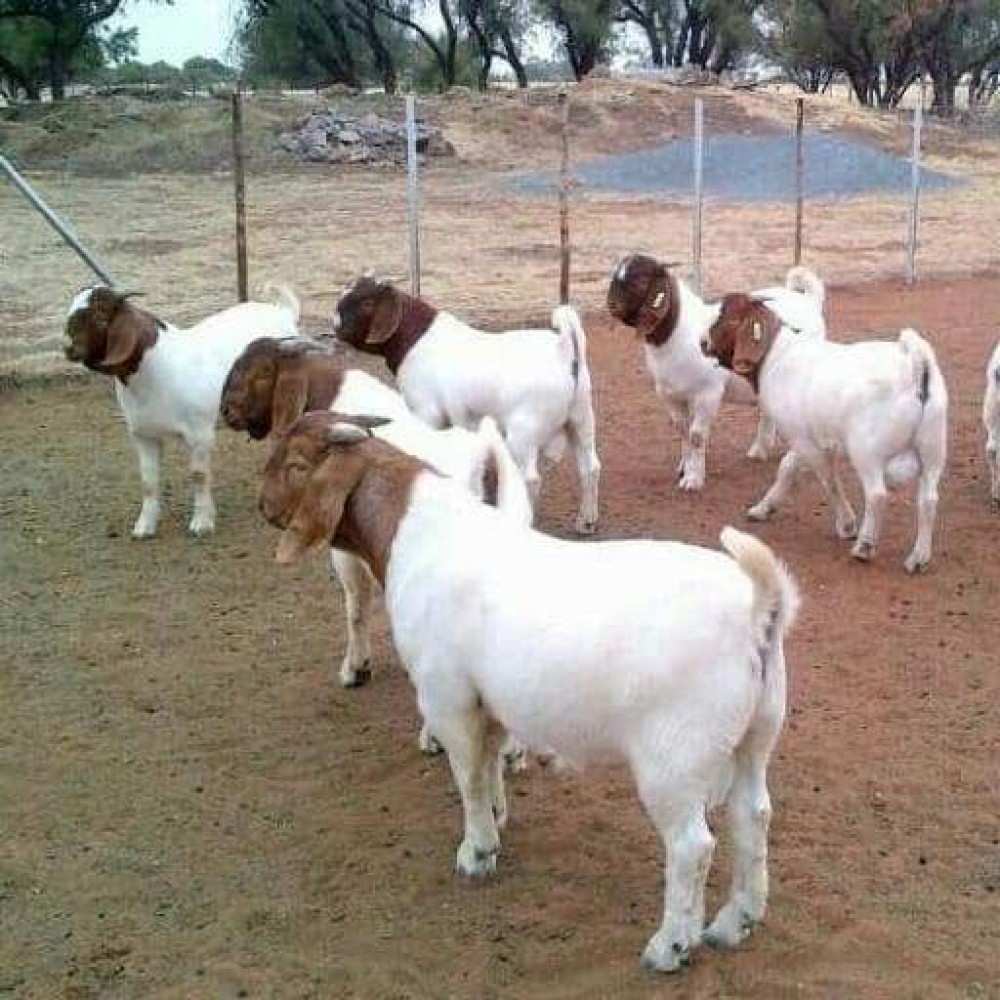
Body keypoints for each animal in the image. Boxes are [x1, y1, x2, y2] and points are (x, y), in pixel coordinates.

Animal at [63, 284, 299, 538]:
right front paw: (144, 526)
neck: (158, 369)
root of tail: (283, 311)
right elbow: (148, 480)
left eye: (100, 314)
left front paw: (202, 523)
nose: (68, 347)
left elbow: (198, 475)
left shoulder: (200, 433)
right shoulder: (143, 435)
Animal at [260, 411, 799, 973]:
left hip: (675, 759)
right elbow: (491, 760)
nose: (263, 507)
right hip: (754, 736)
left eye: (296, 464)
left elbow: (469, 777)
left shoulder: (447, 697)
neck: (416, 529)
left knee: (692, 847)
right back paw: (735, 922)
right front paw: (499, 819)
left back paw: (670, 946)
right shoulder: (491, 699)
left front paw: (477, 852)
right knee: (753, 816)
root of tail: (759, 609)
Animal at [331, 276, 601, 534]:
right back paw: (586, 522)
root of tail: (563, 350)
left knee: (530, 479)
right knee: (590, 467)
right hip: (581, 418)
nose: (334, 320)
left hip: (523, 432)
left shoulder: (427, 413)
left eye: (367, 302)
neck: (416, 339)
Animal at [607, 255, 826, 490]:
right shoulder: (668, 394)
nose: (611, 305)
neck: (680, 334)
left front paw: (693, 480)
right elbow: (682, 430)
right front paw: (684, 468)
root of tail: (808, 300)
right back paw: (759, 450)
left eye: (640, 280)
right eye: (615, 277)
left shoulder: (707, 393)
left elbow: (696, 435)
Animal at [704, 294, 948, 572]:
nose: (703, 342)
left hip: (867, 451)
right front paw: (763, 508)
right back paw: (919, 557)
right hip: (933, 448)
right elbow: (787, 468)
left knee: (877, 494)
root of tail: (916, 366)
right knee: (928, 499)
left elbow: (828, 480)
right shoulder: (805, 436)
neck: (777, 357)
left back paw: (864, 546)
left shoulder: (805, 441)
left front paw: (847, 525)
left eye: (728, 317)